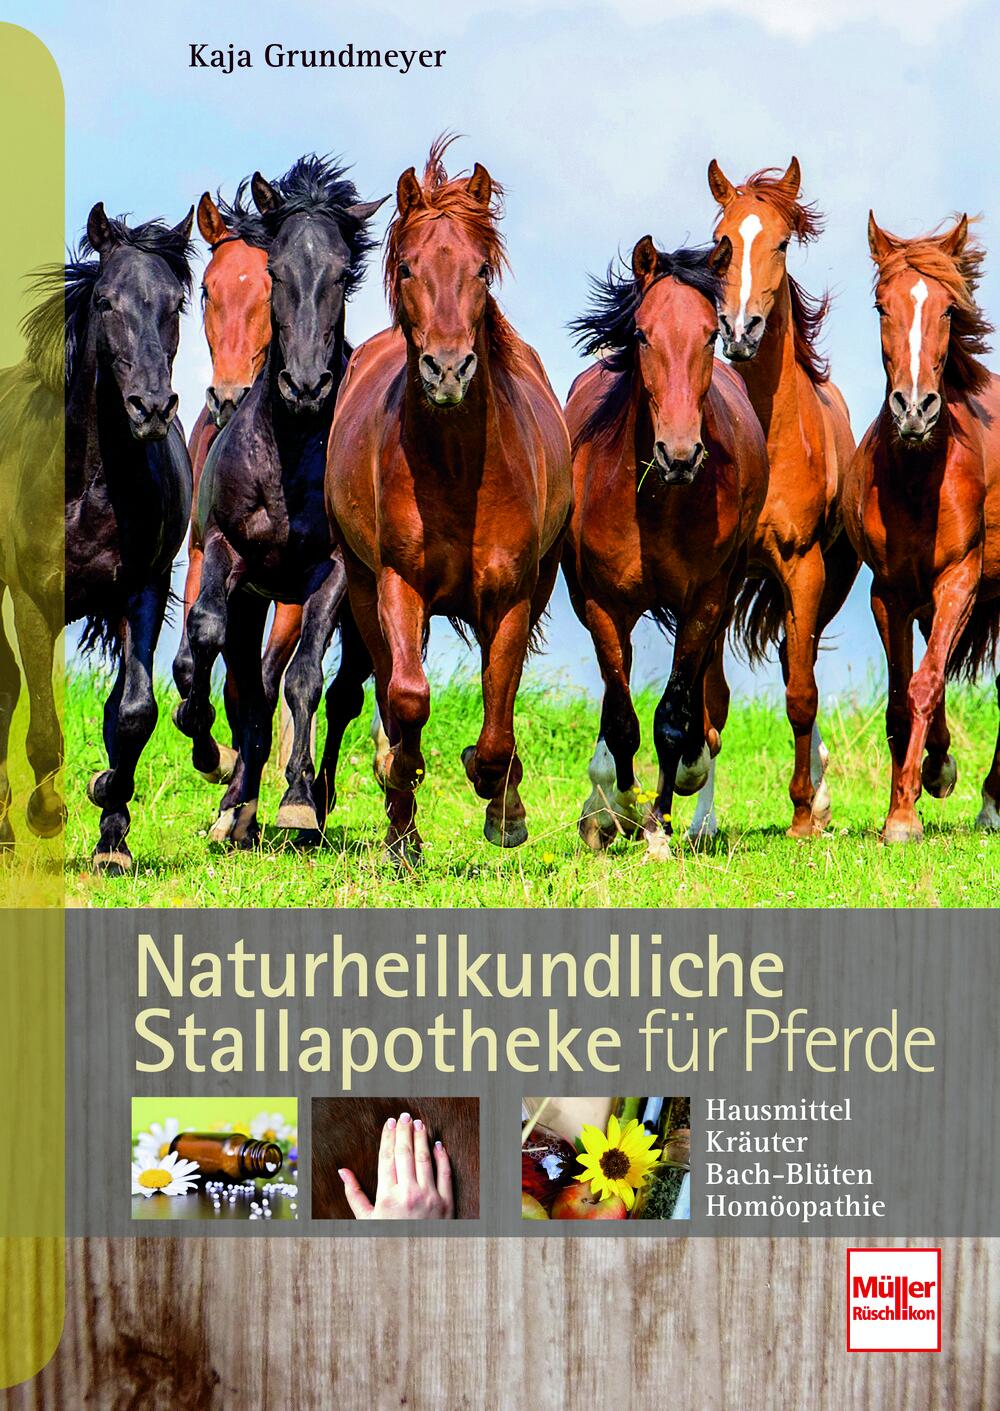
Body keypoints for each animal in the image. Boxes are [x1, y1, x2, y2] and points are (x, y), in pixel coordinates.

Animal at [0, 204, 194, 872]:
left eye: (176, 303)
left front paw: (111, 828)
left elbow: (131, 714)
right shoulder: (33, 601)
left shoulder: (142, 590)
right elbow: (42, 728)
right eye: (107, 301)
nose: (151, 408)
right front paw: (48, 814)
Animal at [173, 156, 385, 848]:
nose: (306, 385)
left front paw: (294, 802)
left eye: (343, 275)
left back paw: (314, 798)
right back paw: (235, 802)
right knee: (250, 680)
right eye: (277, 271)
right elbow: (207, 640)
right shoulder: (221, 550)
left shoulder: (330, 574)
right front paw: (207, 745)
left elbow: (301, 678)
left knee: (333, 691)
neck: (288, 450)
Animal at [325, 137, 573, 865]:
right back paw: (400, 826)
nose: (447, 371)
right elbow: (407, 697)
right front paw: (401, 781)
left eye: (481, 269)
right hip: (361, 587)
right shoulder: (397, 583)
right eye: (408, 267)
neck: (460, 473)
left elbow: (498, 713)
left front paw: (501, 802)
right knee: (389, 683)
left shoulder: (513, 595)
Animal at [564, 236, 769, 854]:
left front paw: (657, 825)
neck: (657, 501)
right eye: (643, 334)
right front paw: (620, 809)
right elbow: (621, 717)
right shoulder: (603, 605)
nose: (679, 454)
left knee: (704, 694)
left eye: (710, 334)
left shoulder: (704, 599)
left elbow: (674, 717)